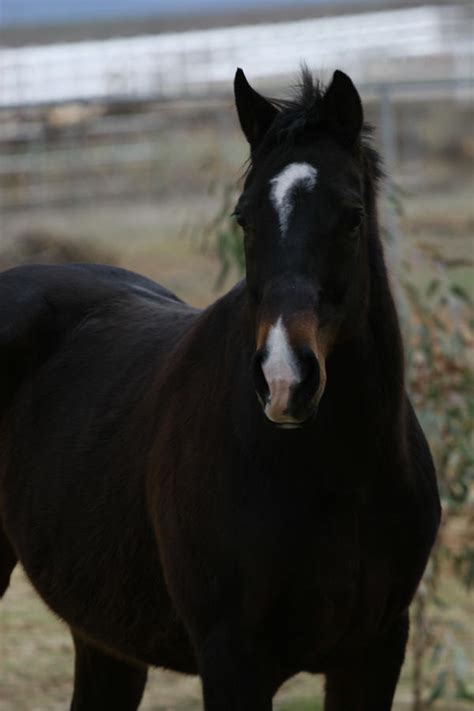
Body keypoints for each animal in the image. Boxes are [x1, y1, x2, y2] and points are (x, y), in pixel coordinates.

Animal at [0, 71, 440, 711]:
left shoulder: (376, 652)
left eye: (353, 217)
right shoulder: (234, 662)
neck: (337, 476)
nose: (285, 379)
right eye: (243, 218)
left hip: (105, 638)